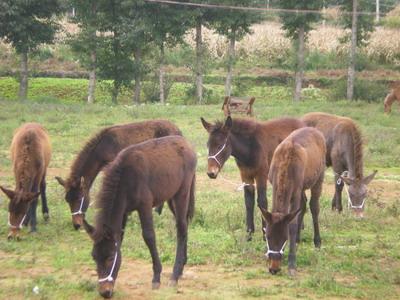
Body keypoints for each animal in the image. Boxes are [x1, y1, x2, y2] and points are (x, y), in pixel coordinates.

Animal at [82, 135, 195, 298]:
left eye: (110, 257)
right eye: (94, 257)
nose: (105, 293)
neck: (124, 177)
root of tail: (185, 142)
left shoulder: (145, 206)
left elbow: (149, 236)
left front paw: (156, 277)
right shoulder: (123, 211)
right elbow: (120, 239)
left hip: (182, 194)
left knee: (181, 228)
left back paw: (174, 275)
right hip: (171, 197)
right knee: (184, 226)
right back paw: (181, 269)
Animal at [260, 127, 326, 276]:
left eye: (284, 238)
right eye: (268, 237)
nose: (274, 268)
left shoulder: (295, 192)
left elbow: (292, 224)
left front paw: (291, 263)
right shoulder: (274, 184)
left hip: (319, 176)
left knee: (314, 206)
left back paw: (317, 241)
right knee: (304, 204)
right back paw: (297, 239)